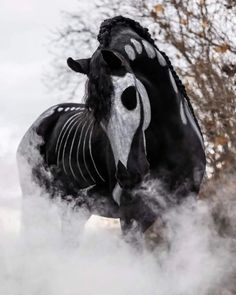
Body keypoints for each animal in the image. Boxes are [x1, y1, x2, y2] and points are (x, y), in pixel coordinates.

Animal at [16, 15, 206, 238]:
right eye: (94, 111)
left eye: (130, 97)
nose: (129, 176)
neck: (172, 139)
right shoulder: (132, 216)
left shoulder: (185, 207)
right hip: (36, 200)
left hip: (75, 209)